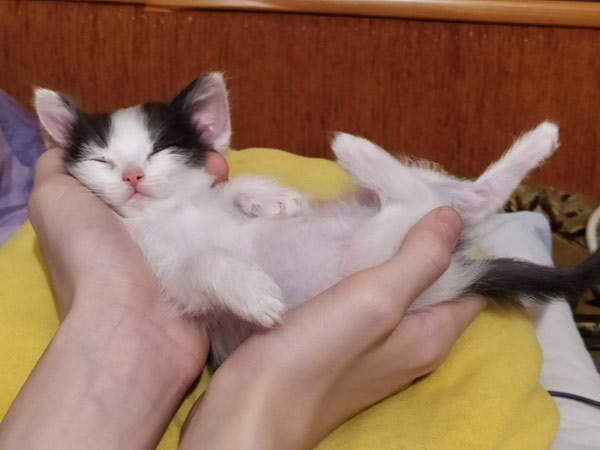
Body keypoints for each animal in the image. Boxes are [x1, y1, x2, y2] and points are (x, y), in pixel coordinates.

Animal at [34, 73, 600, 366]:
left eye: (159, 150)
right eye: (102, 160)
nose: (131, 175)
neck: (175, 214)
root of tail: (459, 267)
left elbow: (235, 188)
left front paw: (272, 201)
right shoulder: (173, 281)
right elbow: (206, 264)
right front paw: (255, 294)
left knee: (461, 199)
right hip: (375, 252)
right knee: (432, 201)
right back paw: (357, 151)